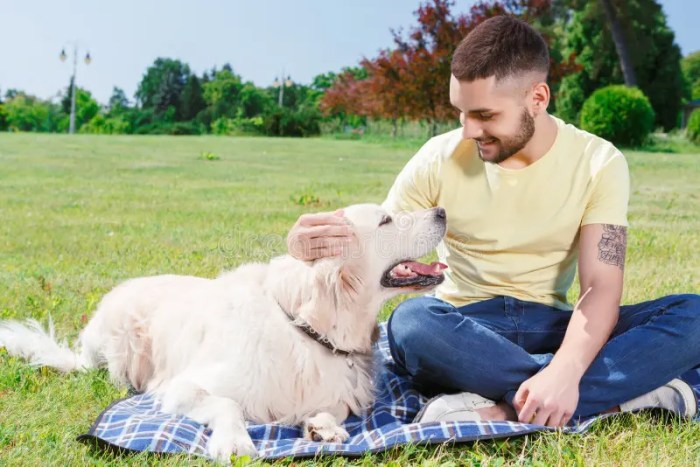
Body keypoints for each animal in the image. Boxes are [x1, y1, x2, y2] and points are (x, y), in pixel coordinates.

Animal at [0, 204, 446, 460]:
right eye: (385, 220)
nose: (442, 211)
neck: (306, 327)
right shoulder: (182, 387)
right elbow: (227, 405)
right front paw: (233, 442)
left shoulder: (338, 393)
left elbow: (329, 408)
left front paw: (322, 426)